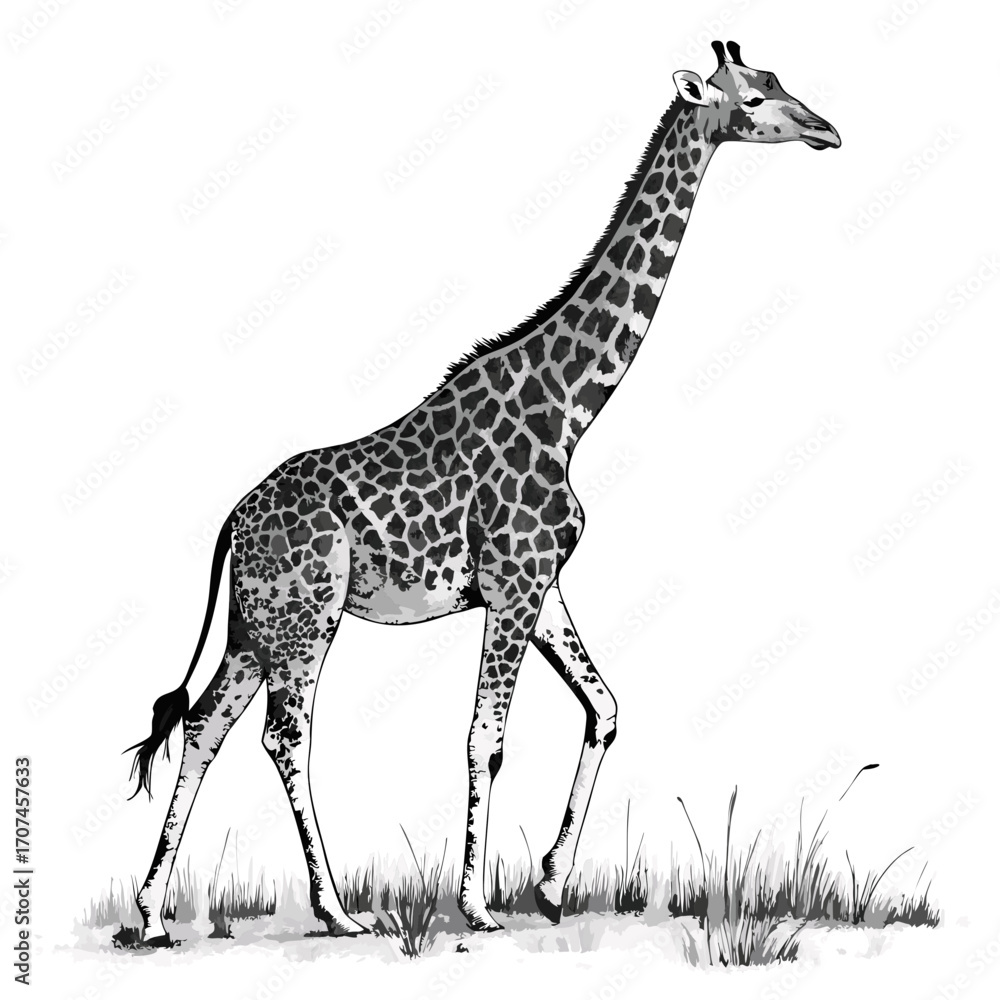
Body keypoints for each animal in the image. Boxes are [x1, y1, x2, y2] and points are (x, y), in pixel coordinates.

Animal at [125, 40, 840, 943]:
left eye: (779, 81)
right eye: (751, 98)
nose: (829, 130)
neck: (571, 407)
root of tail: (230, 523)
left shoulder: (538, 582)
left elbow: (604, 707)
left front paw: (551, 884)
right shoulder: (513, 584)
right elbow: (486, 739)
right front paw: (477, 904)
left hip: (257, 627)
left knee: (204, 722)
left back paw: (152, 915)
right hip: (306, 618)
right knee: (285, 735)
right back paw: (336, 912)